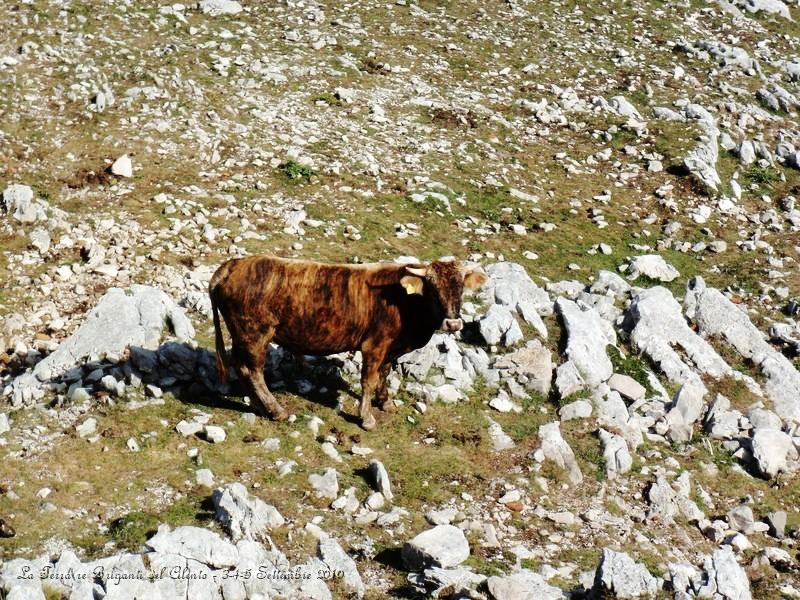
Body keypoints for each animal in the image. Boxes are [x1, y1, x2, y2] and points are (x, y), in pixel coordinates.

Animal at [209, 255, 484, 428]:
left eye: (460, 288)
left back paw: (259, 406)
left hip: (243, 335)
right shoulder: (374, 344)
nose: (453, 324)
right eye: (433, 289)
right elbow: (368, 380)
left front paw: (386, 403)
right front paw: (367, 418)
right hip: (254, 334)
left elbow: (384, 374)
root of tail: (234, 264)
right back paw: (276, 410)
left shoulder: (391, 348)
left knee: (242, 367)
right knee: (252, 370)